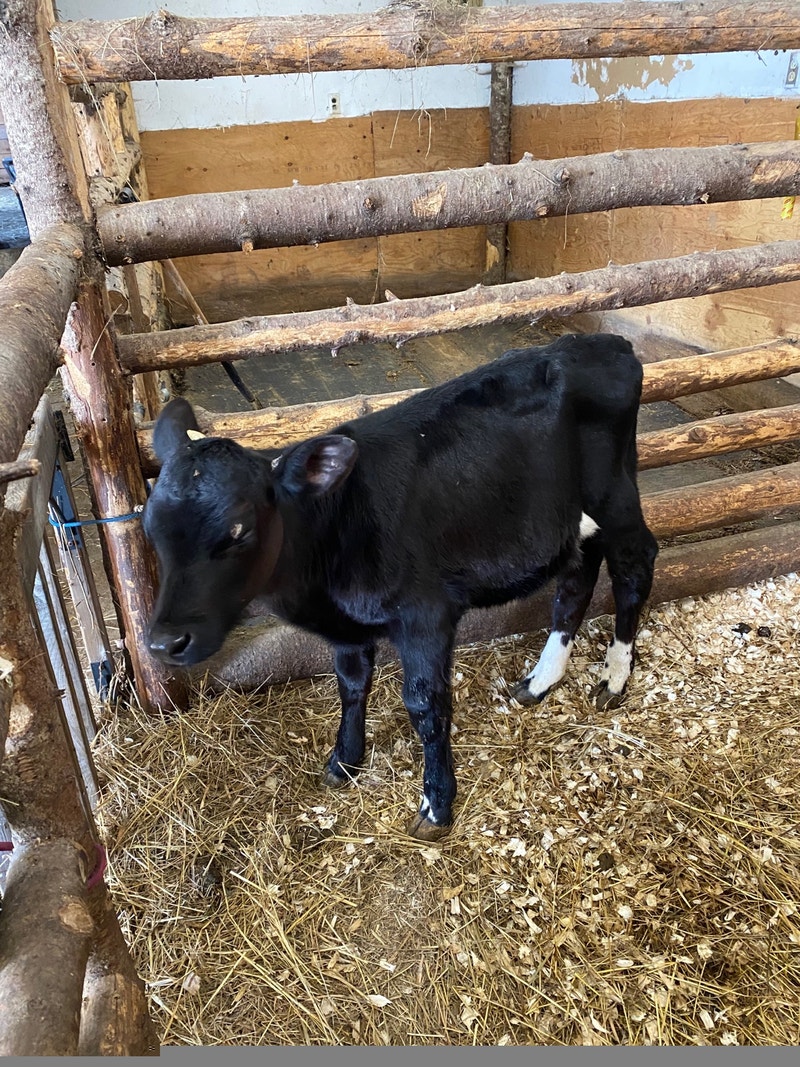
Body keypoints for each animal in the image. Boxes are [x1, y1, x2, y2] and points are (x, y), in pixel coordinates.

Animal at [144, 333, 658, 840]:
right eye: (150, 527)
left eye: (239, 530)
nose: (164, 642)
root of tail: (606, 342)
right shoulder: (348, 627)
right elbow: (351, 685)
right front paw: (345, 761)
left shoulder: (425, 615)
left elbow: (425, 706)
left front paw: (437, 805)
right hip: (573, 519)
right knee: (577, 578)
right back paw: (541, 679)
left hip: (616, 496)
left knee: (635, 563)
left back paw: (614, 675)